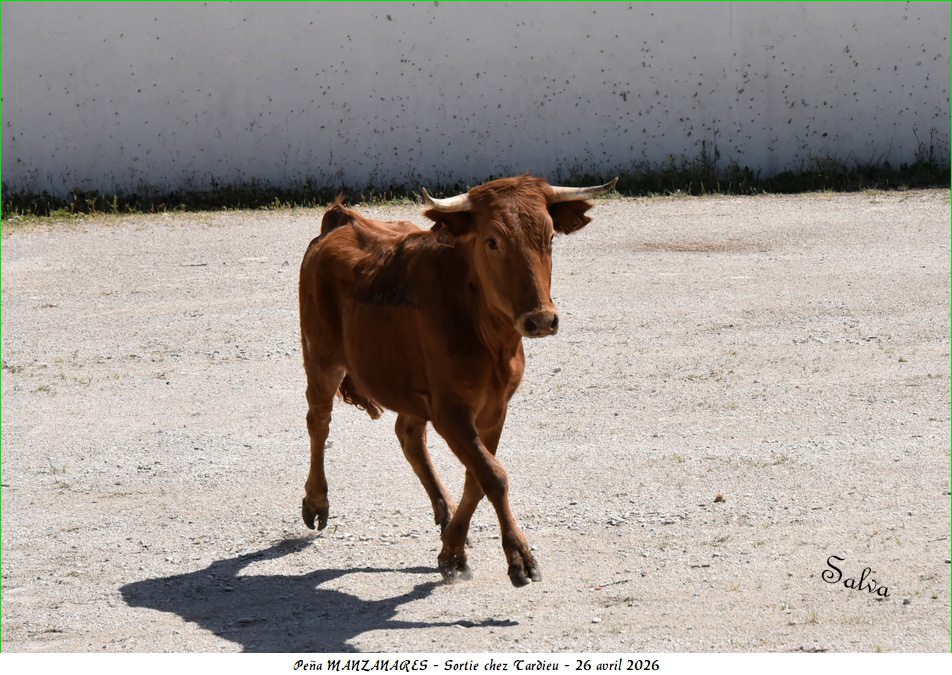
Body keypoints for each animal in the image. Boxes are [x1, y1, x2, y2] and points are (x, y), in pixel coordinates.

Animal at [298, 174, 617, 586]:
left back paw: (444, 509)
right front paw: (519, 556)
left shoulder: (494, 408)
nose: (542, 320)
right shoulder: (450, 411)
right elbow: (493, 475)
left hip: (411, 386)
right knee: (319, 421)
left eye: (549, 238)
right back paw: (316, 502)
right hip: (321, 358)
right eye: (492, 241)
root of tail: (341, 222)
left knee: (409, 435)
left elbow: (477, 477)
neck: (487, 334)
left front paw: (452, 550)